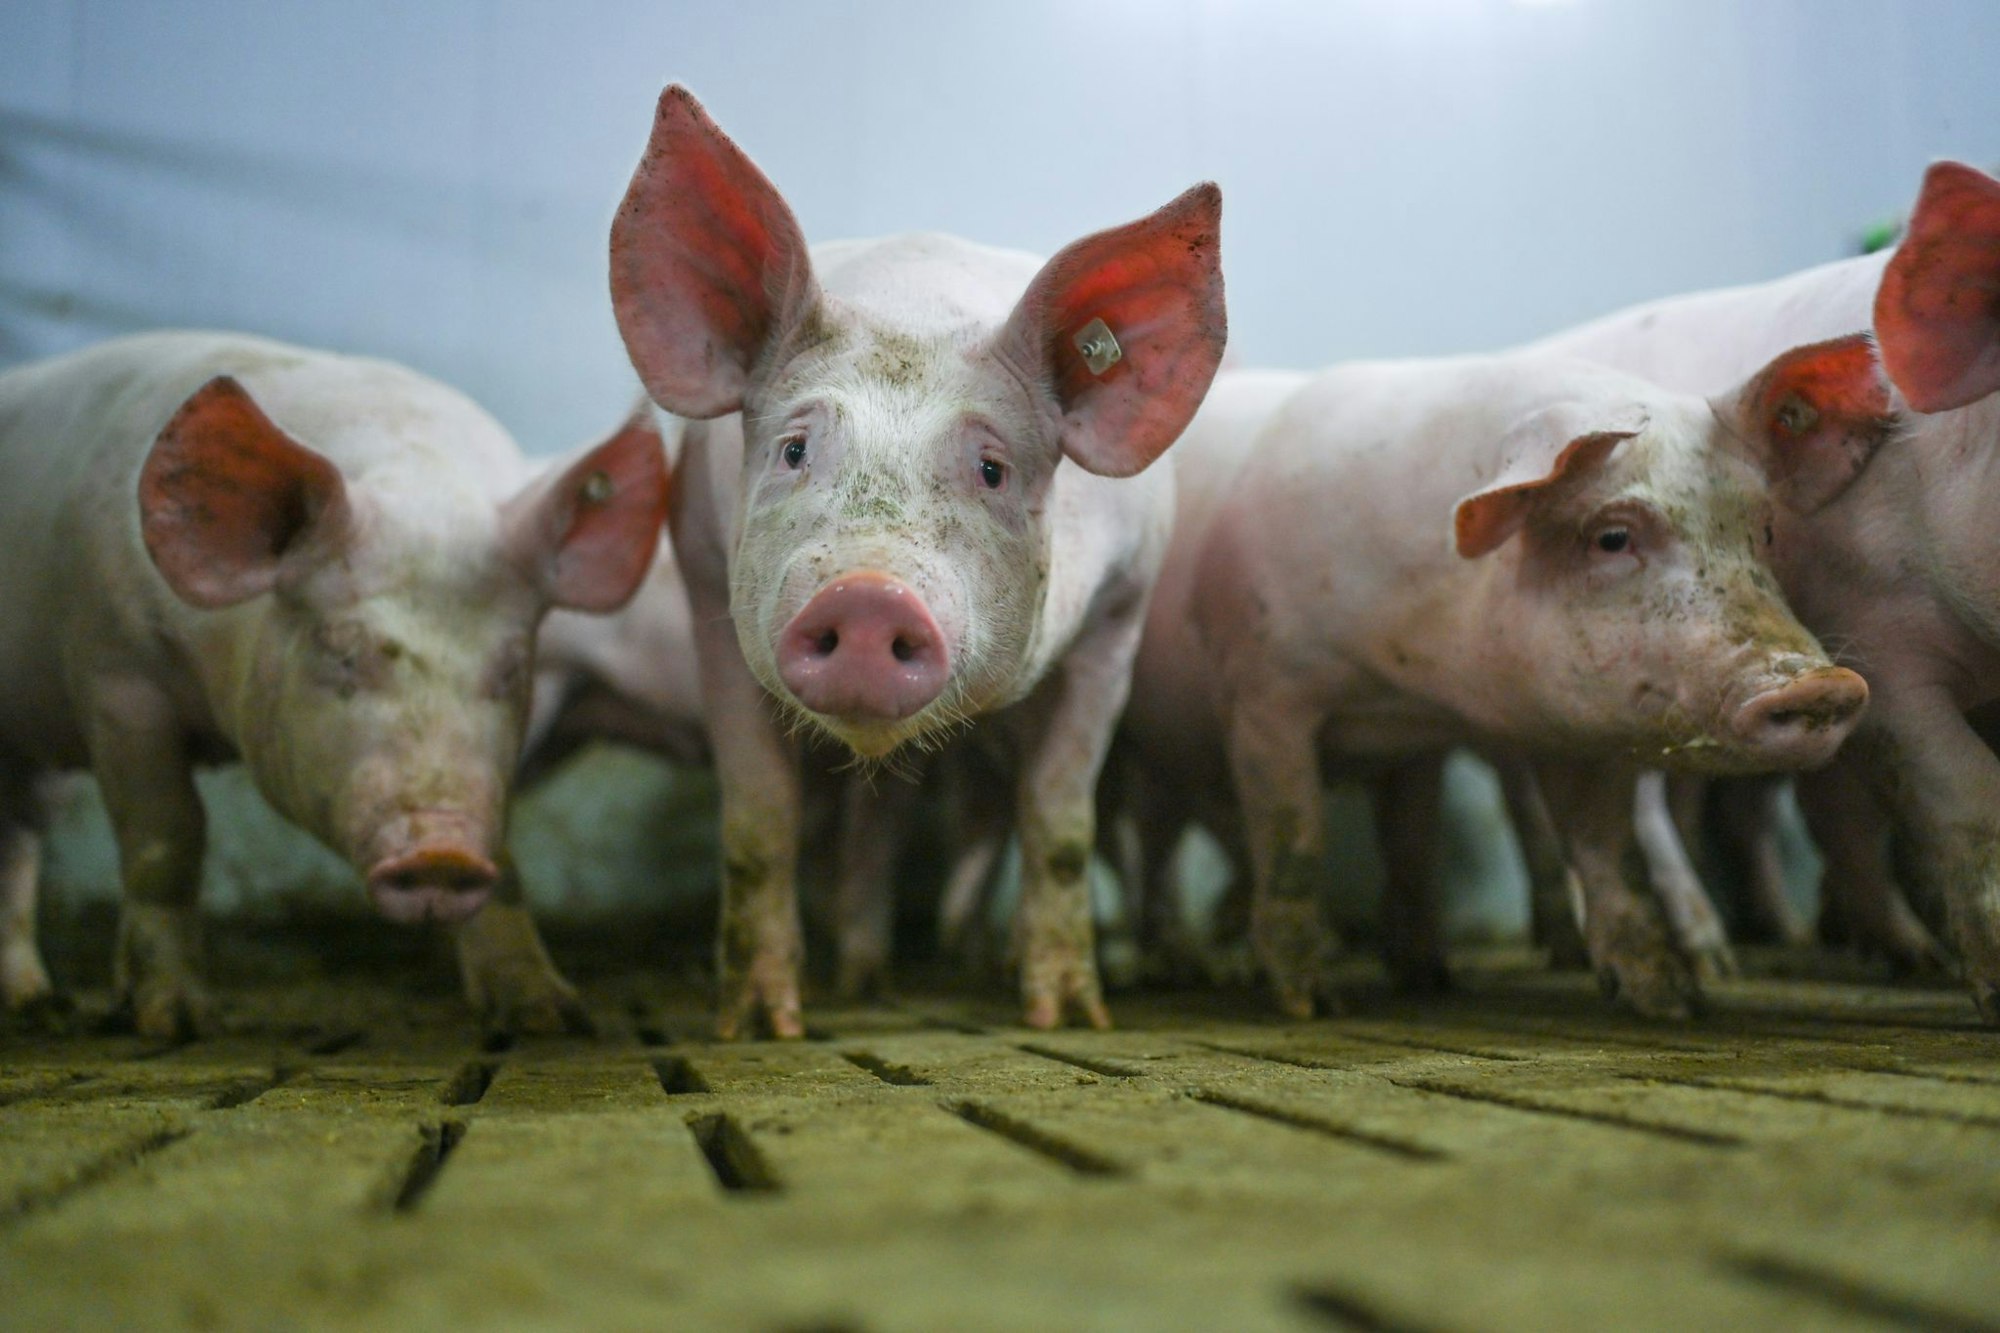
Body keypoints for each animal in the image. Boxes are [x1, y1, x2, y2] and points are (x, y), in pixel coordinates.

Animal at [0, 332, 667, 1038]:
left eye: (512, 667)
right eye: (341, 652)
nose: (444, 855)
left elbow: (506, 857)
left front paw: (547, 1016)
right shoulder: (114, 671)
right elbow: (166, 839)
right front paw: (175, 1021)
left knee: (19, 836)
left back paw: (35, 1002)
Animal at [609, 86, 1227, 1035]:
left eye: (992, 468)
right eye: (794, 449)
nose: (869, 595)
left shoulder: (1119, 615)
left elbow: (1060, 823)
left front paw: (1067, 1015)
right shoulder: (707, 571)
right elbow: (758, 819)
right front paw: (760, 1024)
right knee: (881, 821)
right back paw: (862, 983)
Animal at [1118, 342, 1886, 1018]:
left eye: (1765, 531)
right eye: (1612, 536)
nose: (1819, 685)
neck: (1416, 675)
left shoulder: (1481, 734)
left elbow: (1595, 853)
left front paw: (1670, 1002)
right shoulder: (1263, 691)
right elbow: (1293, 837)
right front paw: (1315, 1004)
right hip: (1154, 751)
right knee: (1158, 845)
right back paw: (1186, 965)